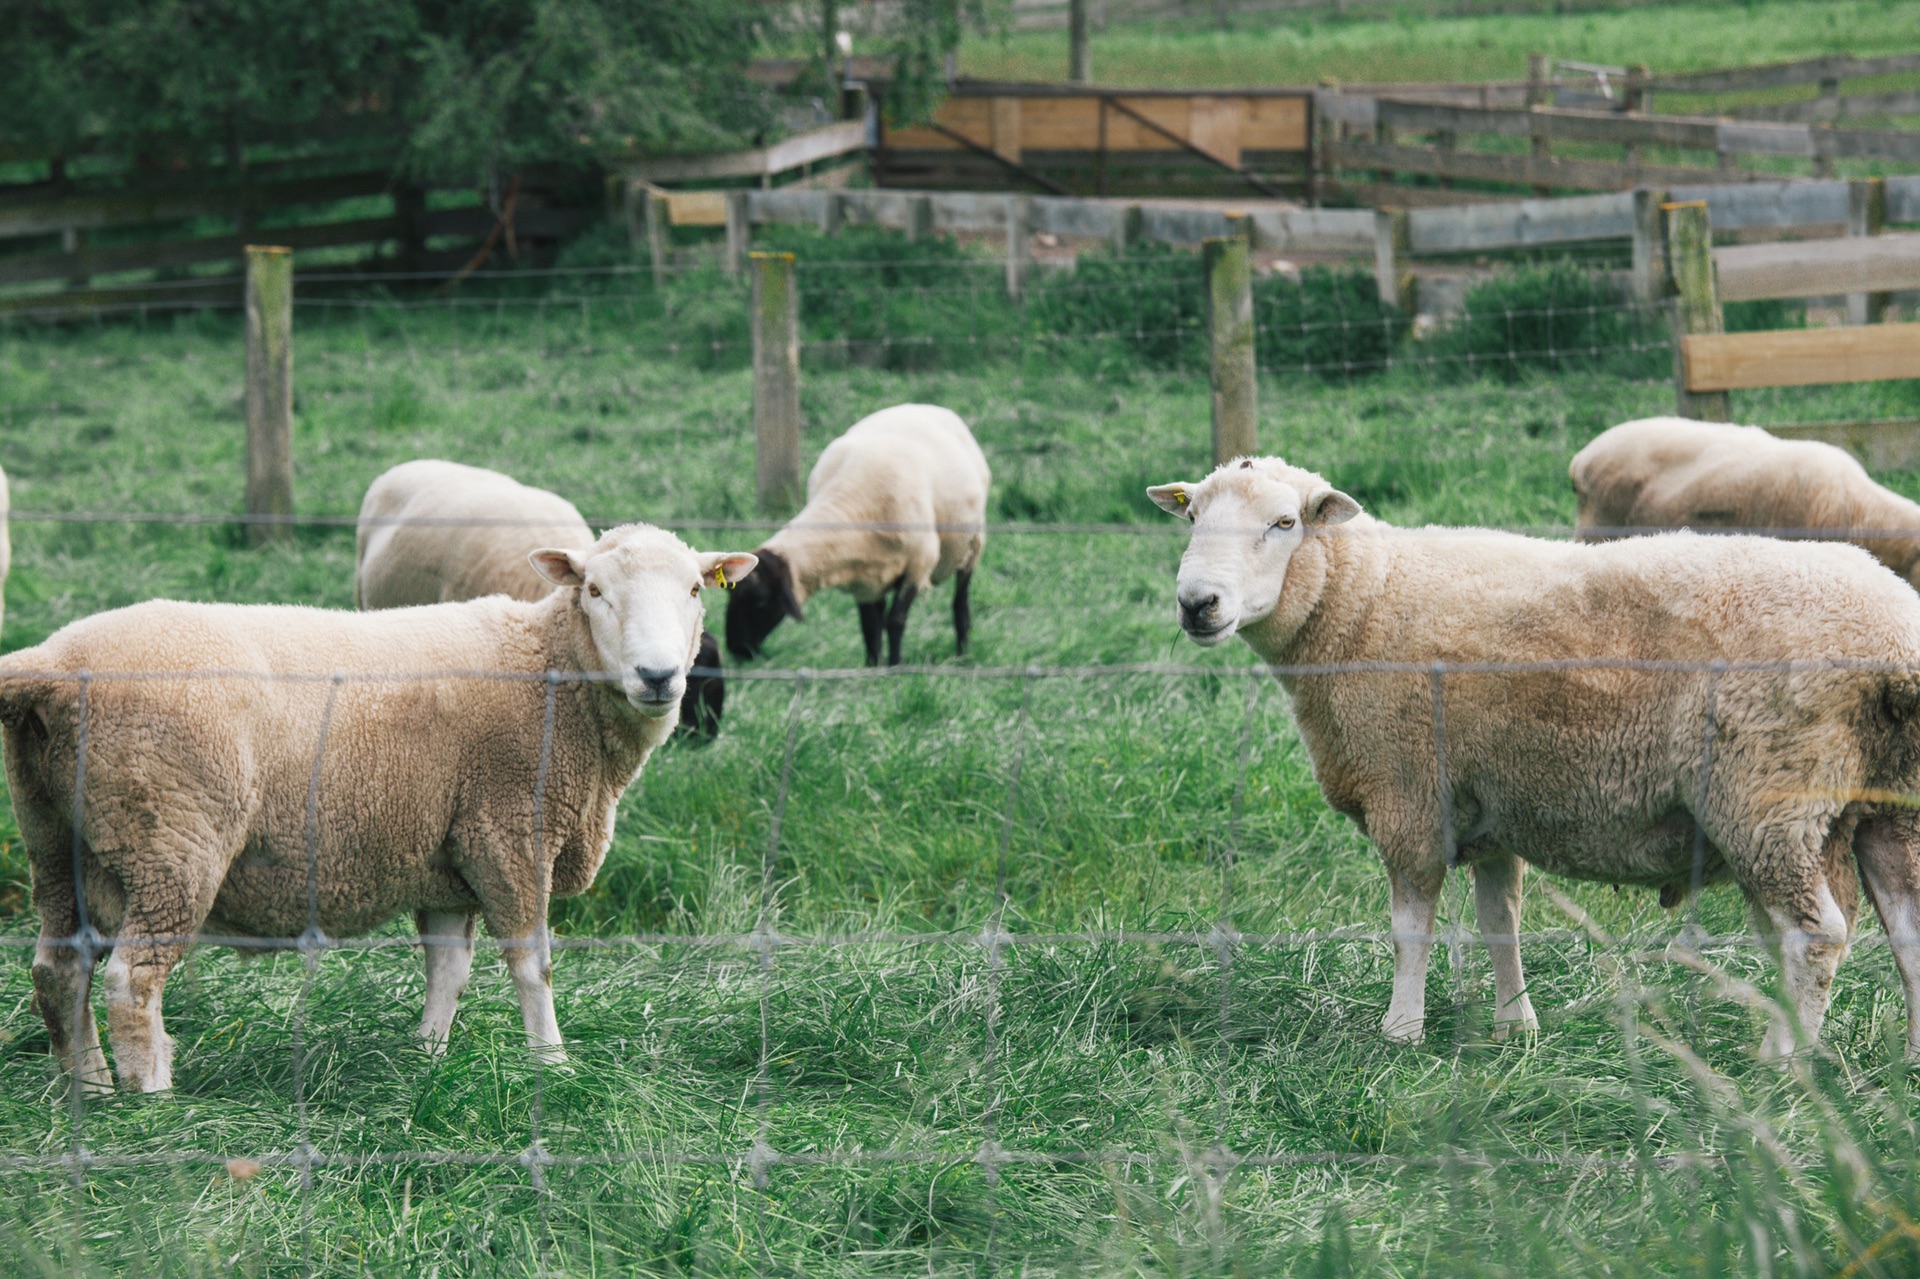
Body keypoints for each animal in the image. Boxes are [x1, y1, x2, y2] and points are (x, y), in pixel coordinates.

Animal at [1, 518, 764, 1083]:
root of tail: (53, 664)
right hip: (172, 840)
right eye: (597, 590)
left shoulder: (450, 854)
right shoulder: (508, 831)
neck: (551, 671)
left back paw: (92, 1089)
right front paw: (554, 1065)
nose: (658, 675)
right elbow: (533, 963)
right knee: (132, 983)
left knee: (59, 971)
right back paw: (151, 1103)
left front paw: (426, 1060)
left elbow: (449, 972)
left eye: (694, 589)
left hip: (56, 836)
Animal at [721, 405, 990, 668]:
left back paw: (963, 655)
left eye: (760, 601)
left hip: (973, 546)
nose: (737, 650)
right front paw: (872, 669)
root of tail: (930, 407)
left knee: (960, 604)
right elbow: (870, 628)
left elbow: (896, 621)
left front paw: (895, 668)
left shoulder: (918, 566)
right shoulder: (862, 578)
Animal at [1144, 458, 1920, 1052]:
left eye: (1284, 523)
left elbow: (1409, 932)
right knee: (1907, 932)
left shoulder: (1409, 794)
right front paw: (1516, 1028)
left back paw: (1783, 1061)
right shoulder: (1491, 807)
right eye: (1192, 517)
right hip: (1888, 804)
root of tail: (1893, 637)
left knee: (1815, 936)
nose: (1197, 603)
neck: (1360, 602)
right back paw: (1906, 1061)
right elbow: (1500, 924)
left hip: (1768, 798)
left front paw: (1401, 1034)